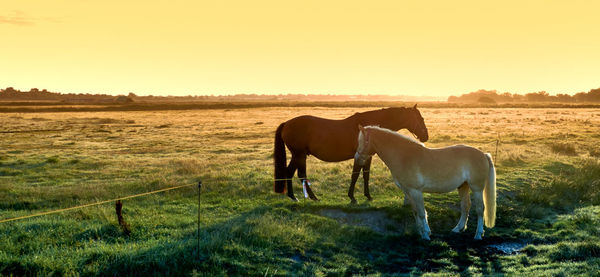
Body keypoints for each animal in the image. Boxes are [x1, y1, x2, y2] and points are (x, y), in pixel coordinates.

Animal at [274, 104, 428, 202]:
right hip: (299, 155)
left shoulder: (368, 157)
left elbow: (365, 175)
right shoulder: (359, 156)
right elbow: (355, 175)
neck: (367, 129)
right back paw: (300, 197)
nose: (425, 136)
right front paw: (352, 197)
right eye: (420, 119)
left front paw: (368, 196)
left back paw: (302, 196)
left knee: (296, 173)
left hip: (300, 156)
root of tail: (286, 124)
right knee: (295, 173)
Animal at [354, 125, 494, 239]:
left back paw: (478, 234)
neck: (404, 156)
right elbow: (415, 211)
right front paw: (421, 232)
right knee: (466, 206)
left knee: (480, 209)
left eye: (362, 141)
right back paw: (457, 229)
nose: (357, 158)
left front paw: (426, 234)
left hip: (476, 188)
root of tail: (483, 154)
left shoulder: (416, 191)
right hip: (463, 186)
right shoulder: (408, 192)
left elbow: (422, 212)